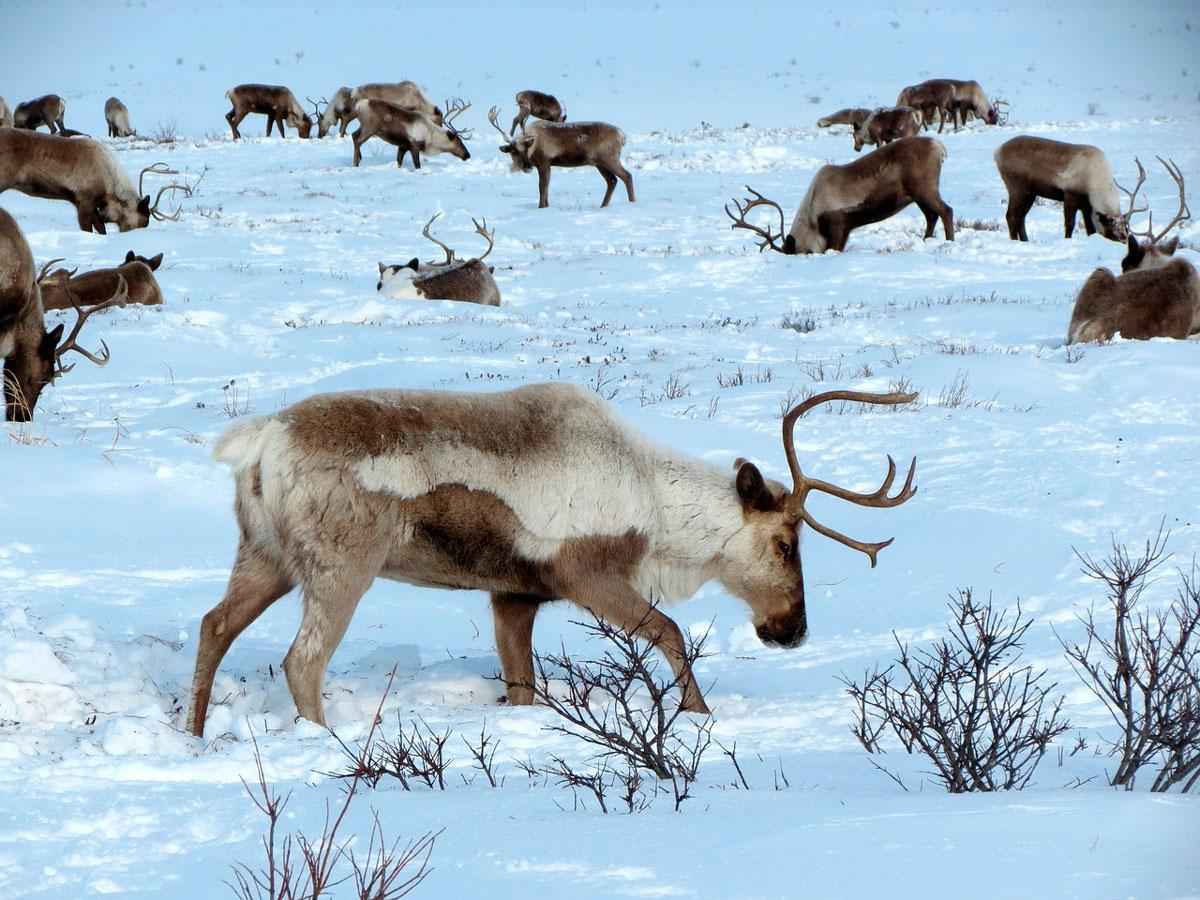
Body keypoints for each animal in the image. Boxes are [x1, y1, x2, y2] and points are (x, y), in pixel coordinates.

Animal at [186, 384, 918, 737]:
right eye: (786, 544)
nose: (792, 629)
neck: (657, 514)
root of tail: (259, 444)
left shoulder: (513, 594)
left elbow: (522, 685)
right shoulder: (586, 573)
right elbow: (670, 632)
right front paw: (699, 715)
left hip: (266, 554)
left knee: (214, 625)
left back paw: (192, 732)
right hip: (342, 564)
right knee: (301, 659)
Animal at [488, 105, 634, 209]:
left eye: (526, 148)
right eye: (513, 151)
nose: (527, 167)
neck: (534, 142)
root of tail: (622, 136)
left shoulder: (544, 162)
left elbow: (542, 187)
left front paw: (541, 207)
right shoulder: (546, 165)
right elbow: (546, 187)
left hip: (609, 158)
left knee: (627, 176)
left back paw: (632, 202)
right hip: (599, 163)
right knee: (612, 181)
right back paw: (603, 206)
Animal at [726, 137, 953, 254]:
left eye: (795, 252)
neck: (812, 216)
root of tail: (939, 146)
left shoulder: (837, 224)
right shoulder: (846, 229)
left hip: (924, 188)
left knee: (946, 211)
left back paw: (949, 242)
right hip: (916, 195)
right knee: (932, 216)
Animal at [994, 136, 1131, 243]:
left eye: (1126, 227)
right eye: (1113, 230)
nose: (1125, 240)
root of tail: (997, 152)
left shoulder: (1086, 205)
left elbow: (1090, 228)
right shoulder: (1070, 195)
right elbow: (1069, 224)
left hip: (1030, 193)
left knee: (1021, 217)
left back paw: (1025, 240)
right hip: (1017, 188)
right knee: (1011, 215)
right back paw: (1014, 240)